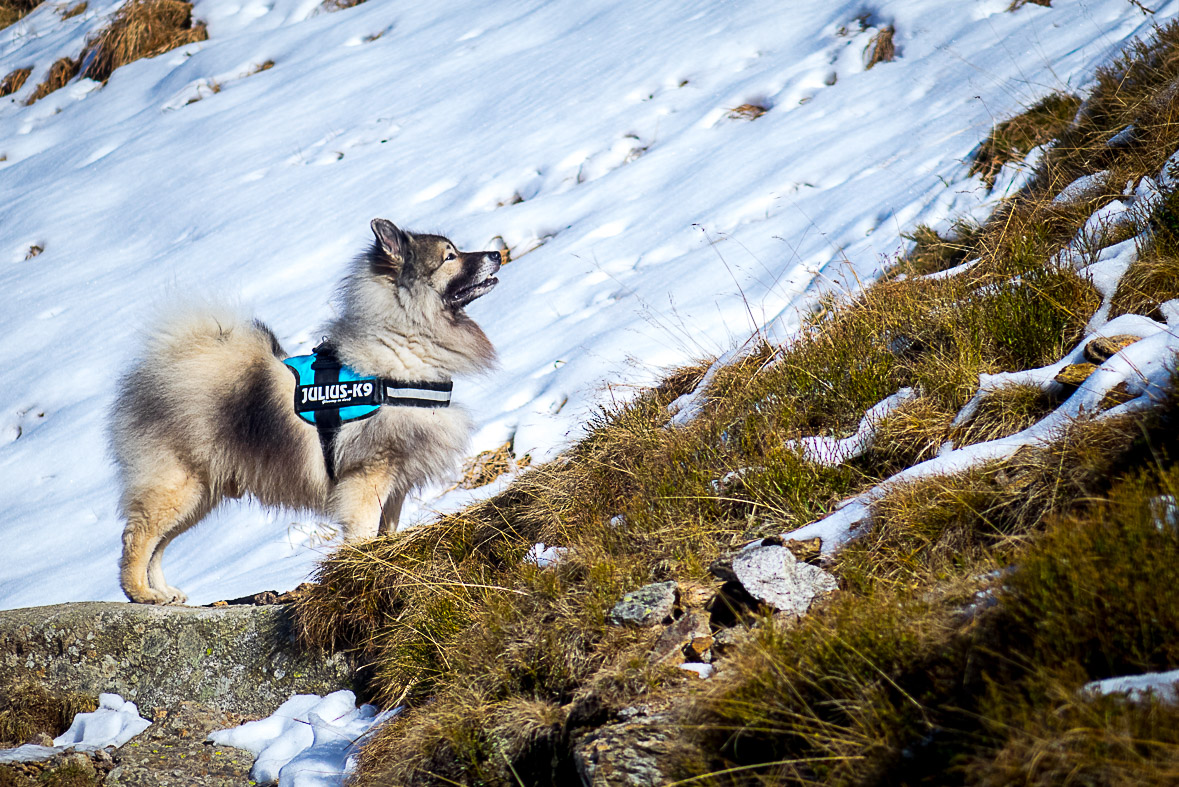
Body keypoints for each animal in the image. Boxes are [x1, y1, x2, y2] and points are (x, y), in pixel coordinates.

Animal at [108, 217, 499, 607]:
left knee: (159, 545)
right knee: (138, 537)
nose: (496, 254)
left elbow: (386, 530)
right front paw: (362, 567)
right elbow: (363, 532)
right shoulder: (367, 476)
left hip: (201, 495)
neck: (399, 347)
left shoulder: (396, 480)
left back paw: (163, 593)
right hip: (178, 486)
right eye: (450, 256)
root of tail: (164, 365)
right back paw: (141, 593)